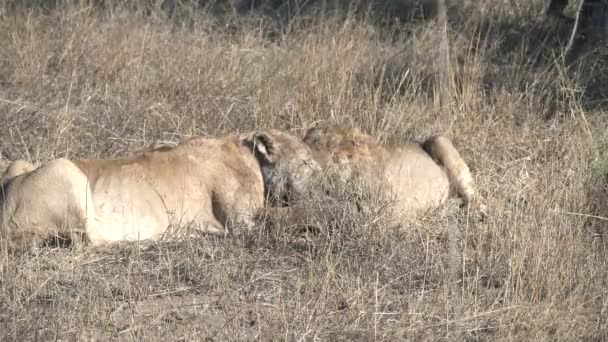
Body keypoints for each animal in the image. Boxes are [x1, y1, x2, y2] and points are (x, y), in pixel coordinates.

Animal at [0, 129, 320, 251]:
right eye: (306, 162)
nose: (322, 178)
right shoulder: (243, 224)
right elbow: (292, 217)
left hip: (19, 163)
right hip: (66, 169)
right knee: (87, 240)